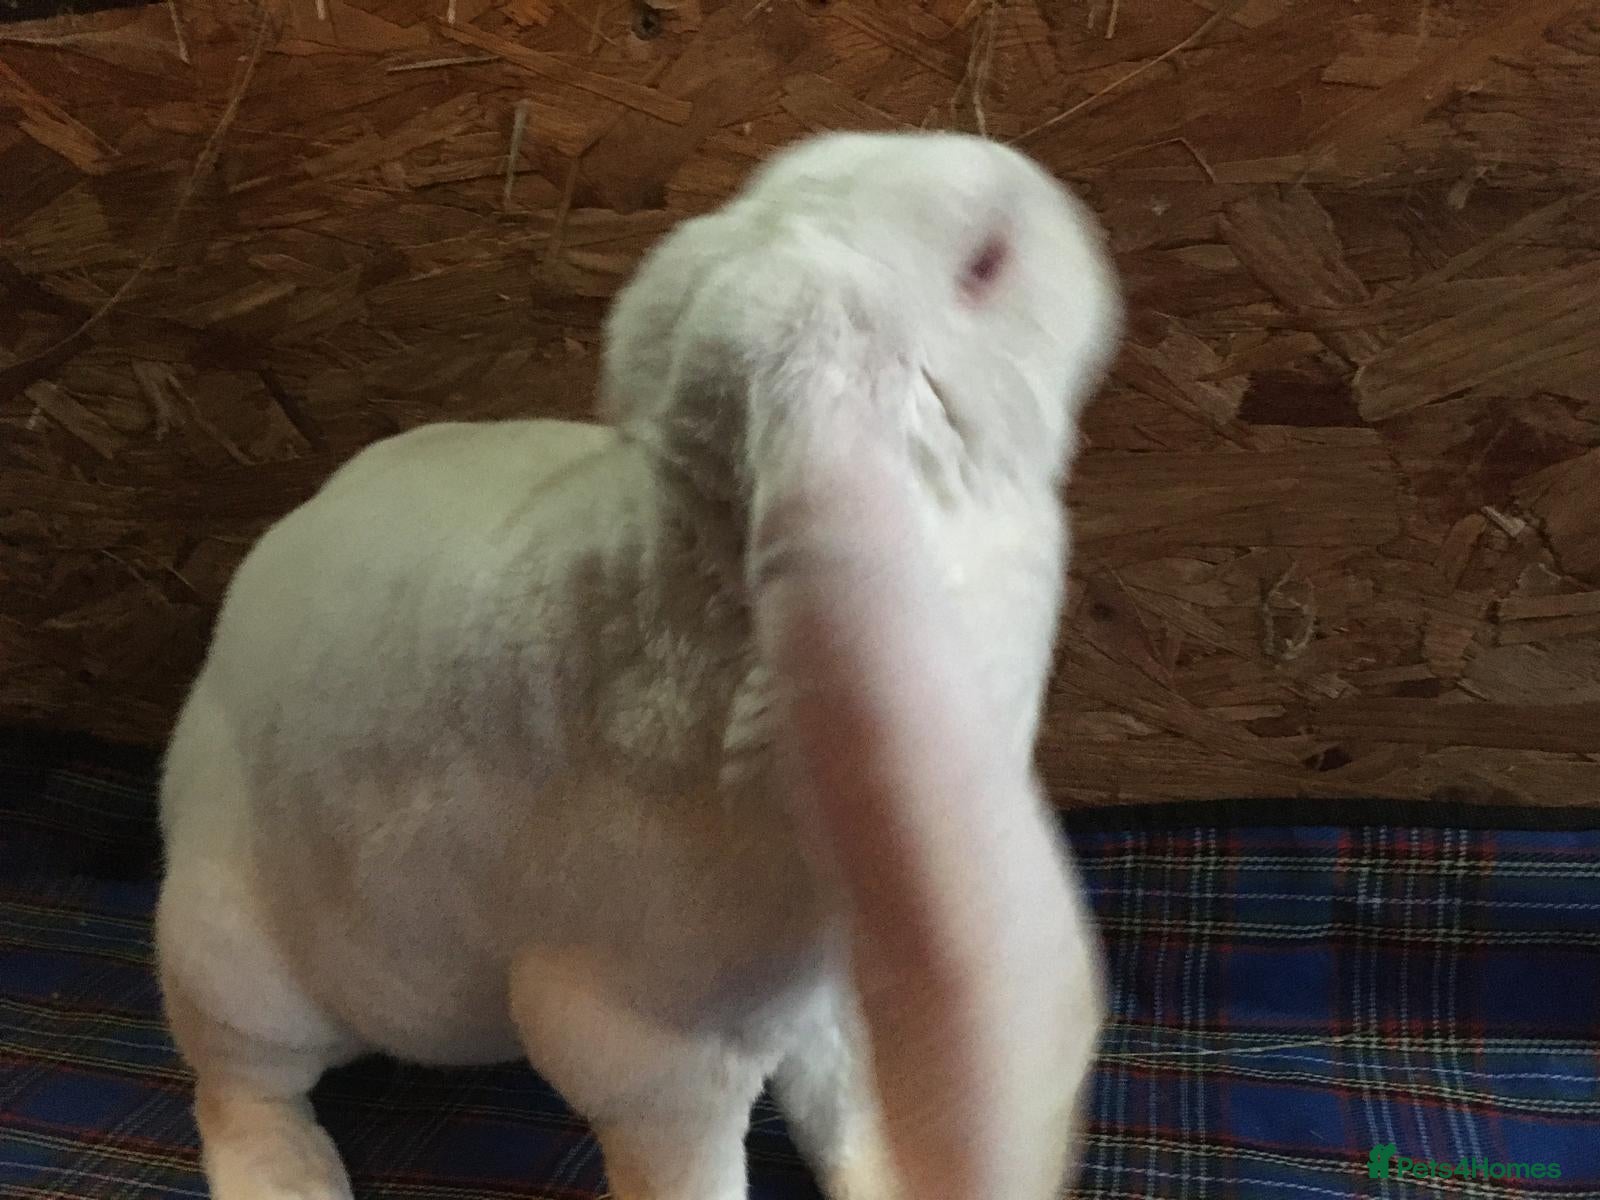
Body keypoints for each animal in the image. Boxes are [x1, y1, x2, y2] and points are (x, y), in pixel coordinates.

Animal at [155, 130, 1121, 1200]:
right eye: (984, 263)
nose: (1060, 201)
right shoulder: (652, 1057)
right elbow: (689, 1164)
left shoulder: (835, 988)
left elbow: (846, 1090)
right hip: (233, 963)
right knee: (238, 1083)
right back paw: (286, 1176)